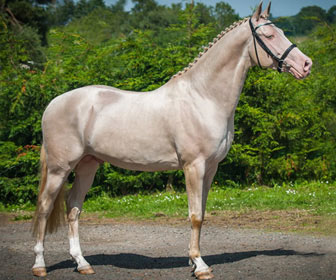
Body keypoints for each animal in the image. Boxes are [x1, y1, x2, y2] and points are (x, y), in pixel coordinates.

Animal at [32, 2, 312, 280]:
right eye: (269, 36)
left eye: (281, 31)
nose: (306, 64)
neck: (203, 97)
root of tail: (53, 103)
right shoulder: (194, 166)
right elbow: (195, 215)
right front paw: (199, 265)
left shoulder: (211, 168)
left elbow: (203, 212)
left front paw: (195, 261)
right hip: (59, 168)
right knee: (45, 207)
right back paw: (39, 265)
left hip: (87, 165)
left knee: (73, 207)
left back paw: (82, 263)